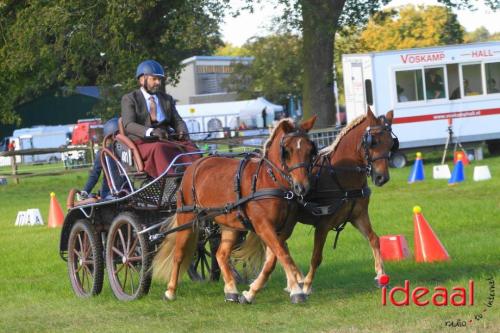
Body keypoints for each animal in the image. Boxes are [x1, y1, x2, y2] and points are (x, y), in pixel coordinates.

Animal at [151, 116, 316, 304]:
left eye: (310, 149)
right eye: (287, 150)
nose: (302, 187)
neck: (269, 180)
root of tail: (194, 164)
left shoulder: (284, 229)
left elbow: (274, 258)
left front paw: (253, 291)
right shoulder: (264, 226)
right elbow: (282, 254)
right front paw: (296, 290)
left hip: (230, 225)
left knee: (221, 254)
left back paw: (231, 290)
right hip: (186, 217)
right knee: (179, 254)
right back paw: (170, 291)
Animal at [235, 109, 398, 296]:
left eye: (391, 144)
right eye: (373, 142)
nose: (382, 178)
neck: (340, 175)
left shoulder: (359, 216)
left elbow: (374, 239)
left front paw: (381, 275)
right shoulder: (323, 224)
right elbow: (316, 257)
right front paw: (306, 286)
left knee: (279, 247)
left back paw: (293, 279)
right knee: (278, 247)